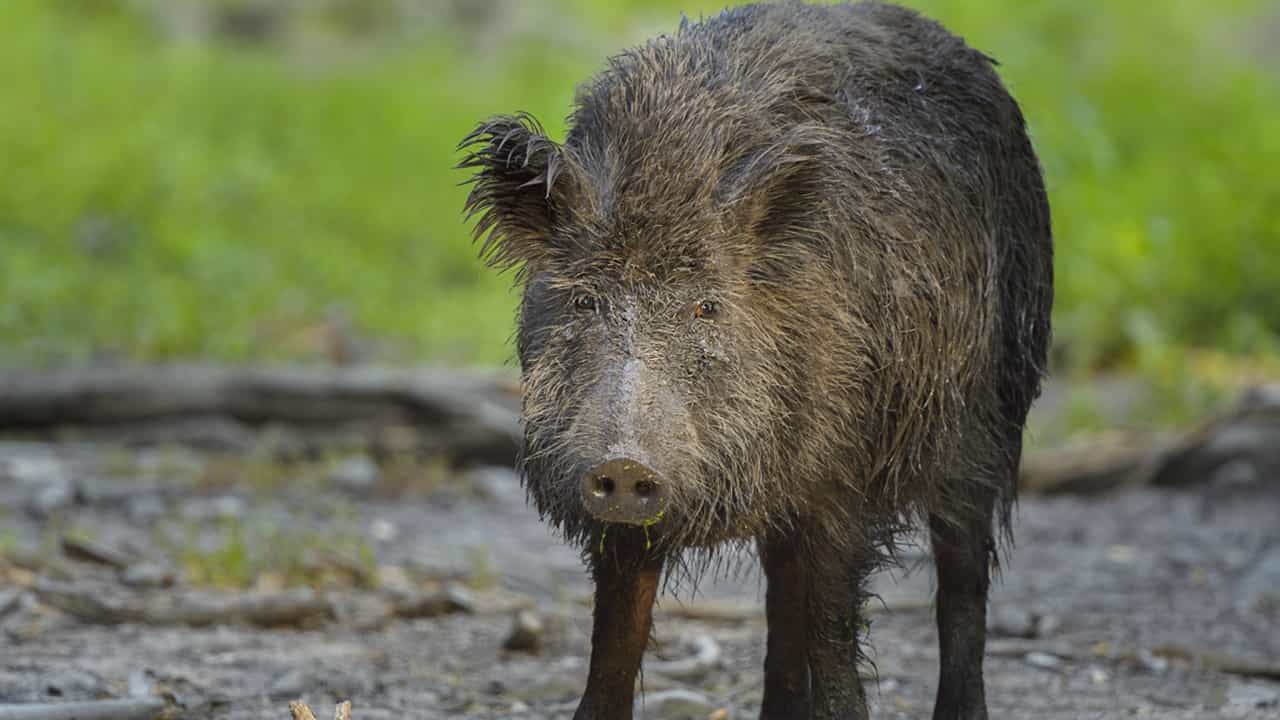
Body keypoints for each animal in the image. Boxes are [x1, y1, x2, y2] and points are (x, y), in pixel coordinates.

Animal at [458, 2, 1052, 718]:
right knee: (781, 599)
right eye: (583, 301)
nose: (625, 464)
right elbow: (616, 644)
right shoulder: (617, 519)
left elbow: (835, 640)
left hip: (993, 412)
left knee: (962, 580)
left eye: (707, 306)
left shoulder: (843, 478)